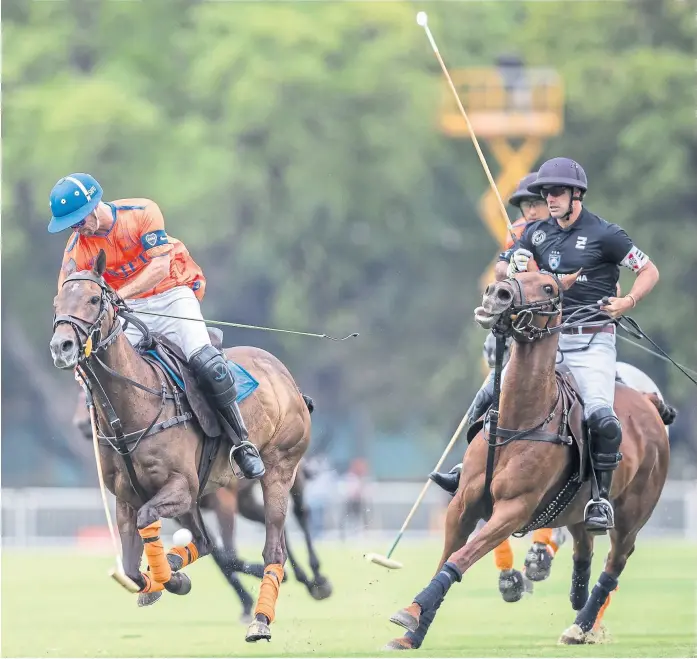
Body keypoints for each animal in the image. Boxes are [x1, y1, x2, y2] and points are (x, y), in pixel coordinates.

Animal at [49, 250, 310, 640]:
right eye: (57, 302)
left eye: (94, 299)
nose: (61, 347)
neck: (133, 408)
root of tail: (285, 376)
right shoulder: (129, 498)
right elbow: (131, 569)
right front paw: (165, 580)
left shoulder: (182, 487)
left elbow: (160, 527)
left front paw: (167, 578)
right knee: (205, 542)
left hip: (278, 470)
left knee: (275, 547)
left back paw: (263, 618)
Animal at [386, 272, 668, 648]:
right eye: (514, 276)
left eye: (549, 287)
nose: (497, 294)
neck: (519, 420)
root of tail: (649, 402)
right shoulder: (463, 504)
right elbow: (447, 555)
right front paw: (413, 630)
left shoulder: (514, 509)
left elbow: (461, 557)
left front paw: (412, 614)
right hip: (575, 507)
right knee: (584, 546)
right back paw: (575, 596)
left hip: (633, 514)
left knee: (614, 563)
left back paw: (581, 623)